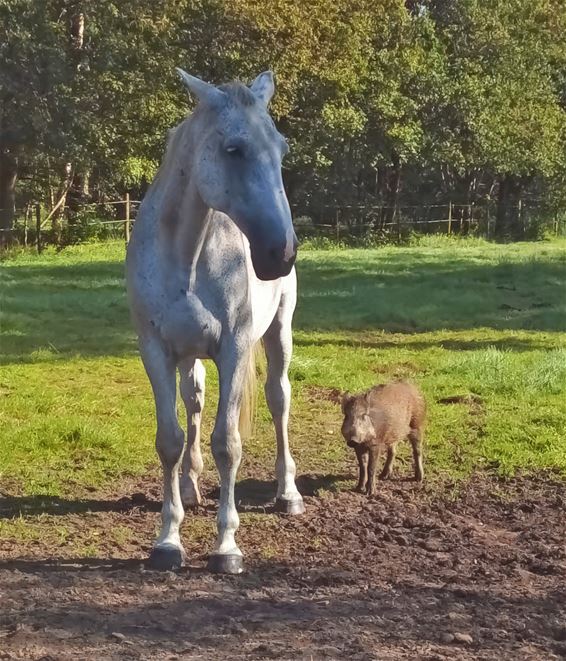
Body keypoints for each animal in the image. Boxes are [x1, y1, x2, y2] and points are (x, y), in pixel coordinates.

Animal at [126, 69, 304, 568]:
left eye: (282, 149)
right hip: (190, 354)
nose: (281, 252)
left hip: (278, 333)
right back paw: (190, 486)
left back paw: (288, 493)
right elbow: (169, 440)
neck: (186, 256)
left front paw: (226, 546)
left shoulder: (234, 348)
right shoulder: (156, 350)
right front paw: (168, 539)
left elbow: (228, 444)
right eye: (233, 150)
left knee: (279, 398)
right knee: (194, 402)